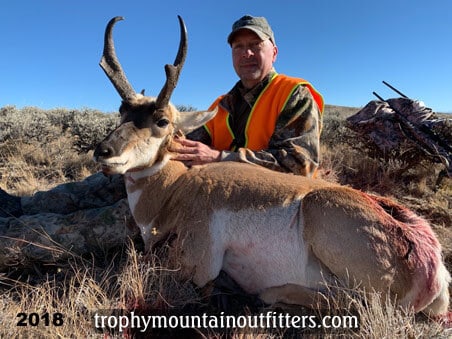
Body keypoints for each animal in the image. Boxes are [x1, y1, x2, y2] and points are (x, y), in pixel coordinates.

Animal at [93, 15, 450, 318]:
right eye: (122, 112)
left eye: (162, 120)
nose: (103, 151)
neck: (178, 187)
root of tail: (427, 252)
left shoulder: (195, 263)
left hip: (323, 212)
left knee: (359, 303)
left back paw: (270, 294)